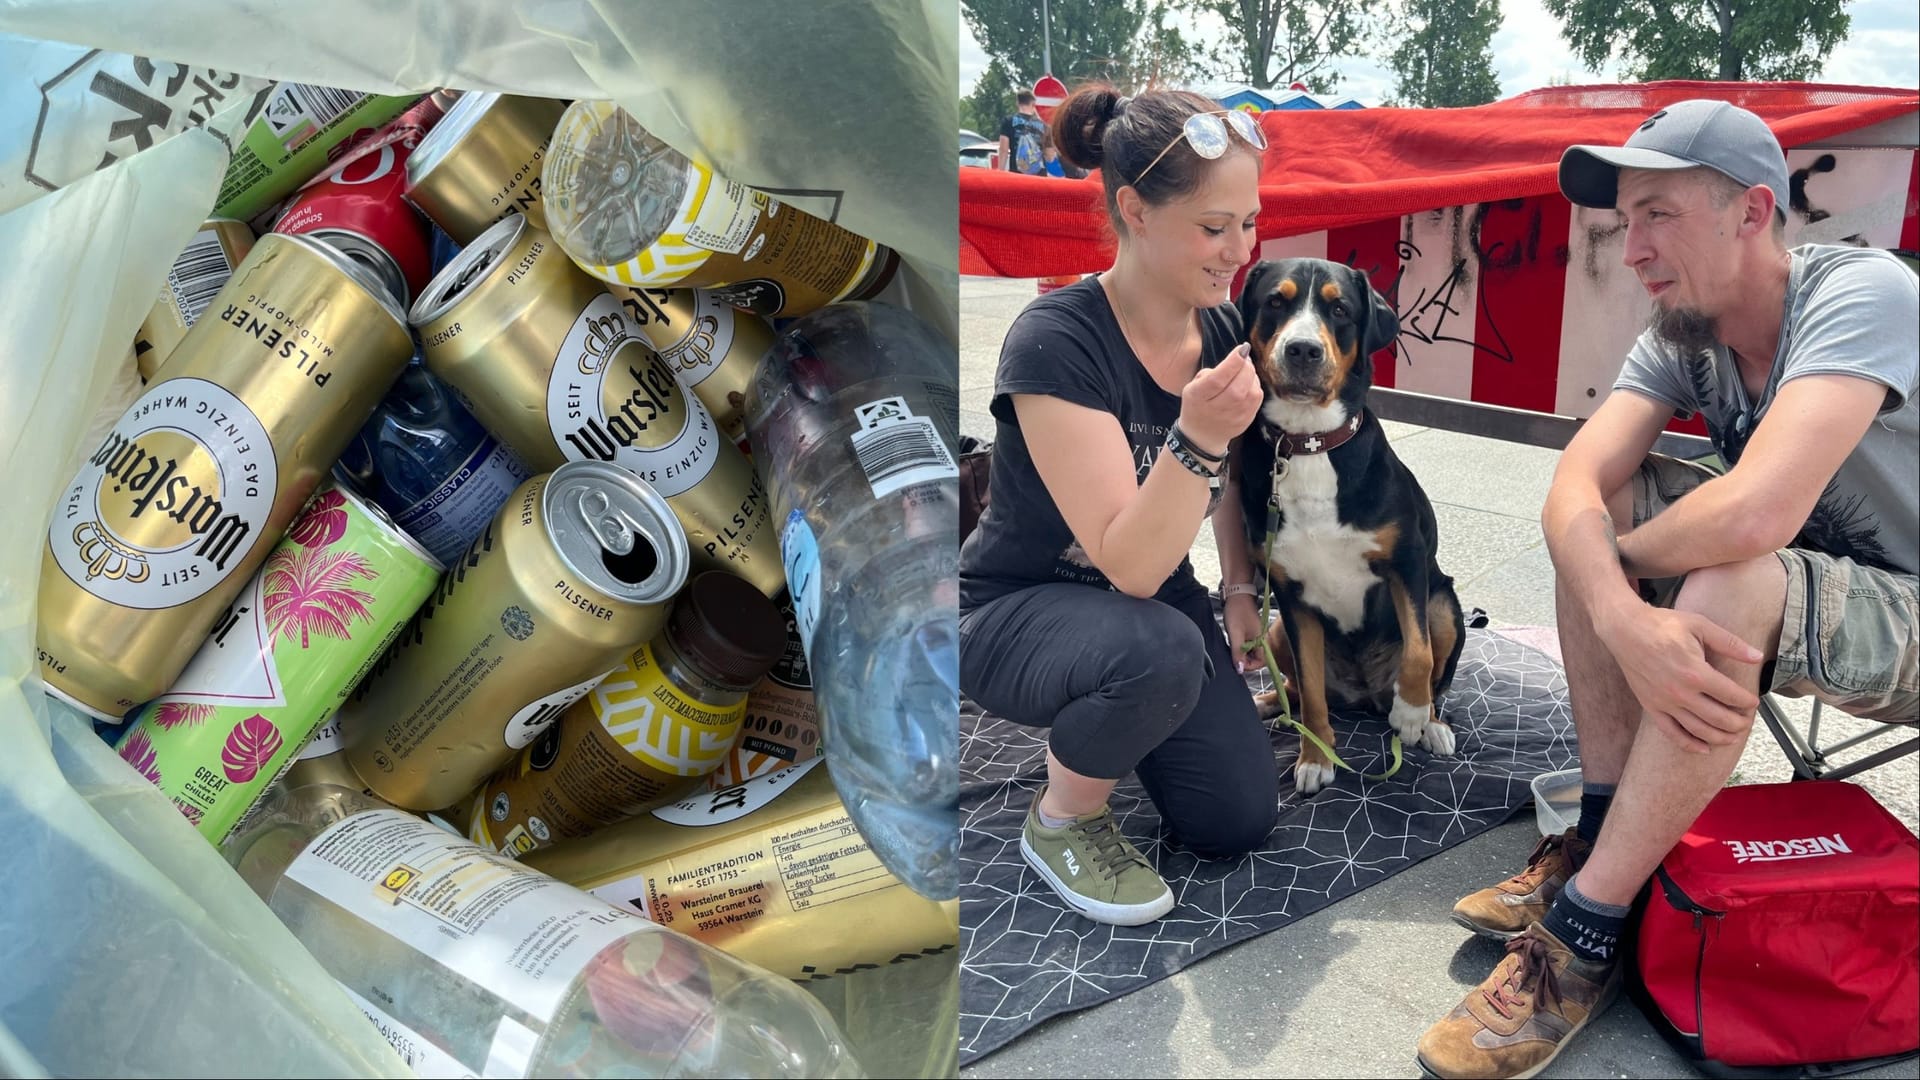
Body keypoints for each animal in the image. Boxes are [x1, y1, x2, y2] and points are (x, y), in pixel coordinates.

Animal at [1236, 253, 1459, 791]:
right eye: (1275, 302)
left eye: (1339, 310)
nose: (1302, 349)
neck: (1308, 444)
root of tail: (1363, 696)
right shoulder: (1292, 597)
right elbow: (1312, 689)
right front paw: (1315, 755)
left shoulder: (1408, 562)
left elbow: (1419, 652)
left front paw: (1411, 713)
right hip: (1276, 628)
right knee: (1298, 690)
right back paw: (1269, 704)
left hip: (1444, 602)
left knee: (1435, 672)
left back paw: (1430, 724)